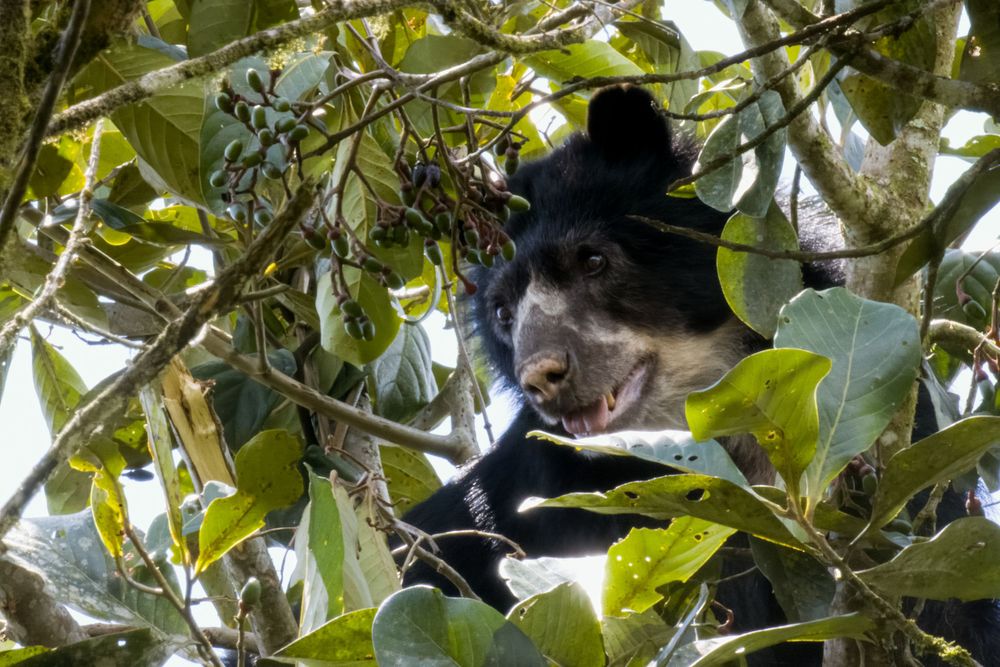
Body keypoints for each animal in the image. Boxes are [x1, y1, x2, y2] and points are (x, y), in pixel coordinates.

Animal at [399, 86, 1000, 665]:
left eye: (592, 260)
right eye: (503, 312)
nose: (543, 375)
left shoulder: (911, 432)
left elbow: (951, 614)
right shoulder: (538, 488)